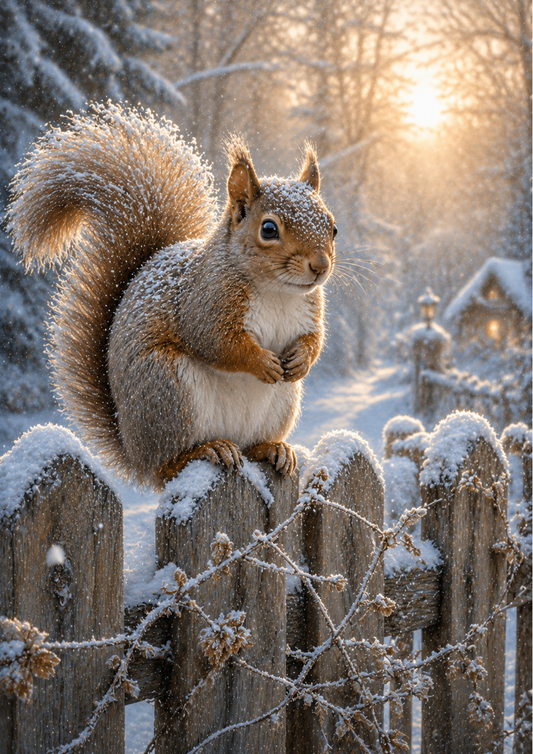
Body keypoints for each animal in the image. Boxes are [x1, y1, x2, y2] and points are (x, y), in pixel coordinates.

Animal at [8, 102, 337, 491]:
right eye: (268, 229)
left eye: (333, 227)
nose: (320, 266)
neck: (277, 292)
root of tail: (135, 456)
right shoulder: (204, 301)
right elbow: (217, 342)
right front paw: (262, 362)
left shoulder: (309, 310)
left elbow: (314, 339)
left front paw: (301, 360)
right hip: (168, 390)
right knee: (167, 465)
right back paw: (206, 450)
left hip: (281, 401)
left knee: (251, 444)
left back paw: (272, 449)